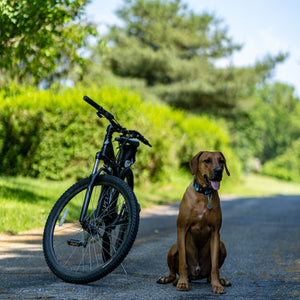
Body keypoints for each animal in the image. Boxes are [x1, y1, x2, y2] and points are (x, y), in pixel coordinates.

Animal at [158, 150, 231, 292]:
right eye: (207, 160)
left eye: (221, 161)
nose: (219, 171)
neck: (204, 195)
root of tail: (196, 275)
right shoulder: (182, 229)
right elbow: (183, 263)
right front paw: (182, 283)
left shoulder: (215, 233)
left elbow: (214, 267)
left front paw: (217, 285)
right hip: (174, 247)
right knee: (173, 272)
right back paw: (171, 279)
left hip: (222, 245)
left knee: (209, 275)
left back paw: (221, 280)